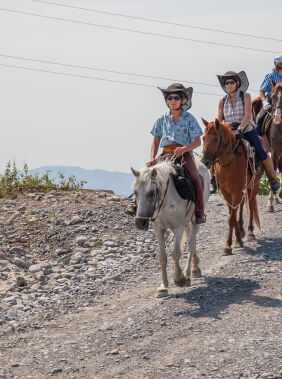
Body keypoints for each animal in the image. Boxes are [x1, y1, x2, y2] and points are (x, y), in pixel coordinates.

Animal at [131, 159, 210, 298]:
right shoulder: (158, 229)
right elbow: (162, 257)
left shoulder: (177, 227)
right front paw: (163, 287)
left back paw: (190, 271)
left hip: (195, 220)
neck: (165, 200)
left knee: (191, 243)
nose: (140, 223)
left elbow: (176, 253)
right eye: (135, 193)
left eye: (152, 193)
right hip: (186, 222)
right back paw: (193, 268)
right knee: (190, 241)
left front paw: (179, 279)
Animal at [199, 119, 264, 255]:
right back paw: (242, 228)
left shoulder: (236, 191)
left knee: (250, 204)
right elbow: (231, 216)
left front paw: (232, 244)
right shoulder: (226, 192)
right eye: (203, 138)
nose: (205, 162)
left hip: (254, 185)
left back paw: (250, 232)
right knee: (241, 205)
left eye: (216, 139)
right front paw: (234, 240)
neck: (229, 164)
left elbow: (231, 217)